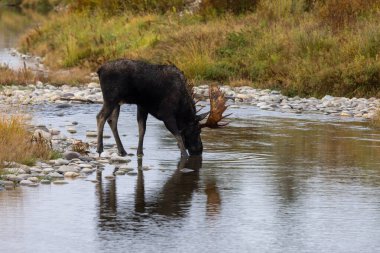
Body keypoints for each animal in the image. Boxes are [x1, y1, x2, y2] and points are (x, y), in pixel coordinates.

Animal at [96, 60, 230, 157]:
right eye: (198, 130)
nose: (199, 149)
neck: (181, 108)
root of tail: (99, 70)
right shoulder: (167, 115)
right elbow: (177, 135)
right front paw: (184, 155)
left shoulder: (143, 106)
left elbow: (142, 129)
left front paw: (140, 152)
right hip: (111, 98)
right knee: (100, 117)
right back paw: (99, 148)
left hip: (117, 102)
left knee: (112, 120)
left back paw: (122, 150)